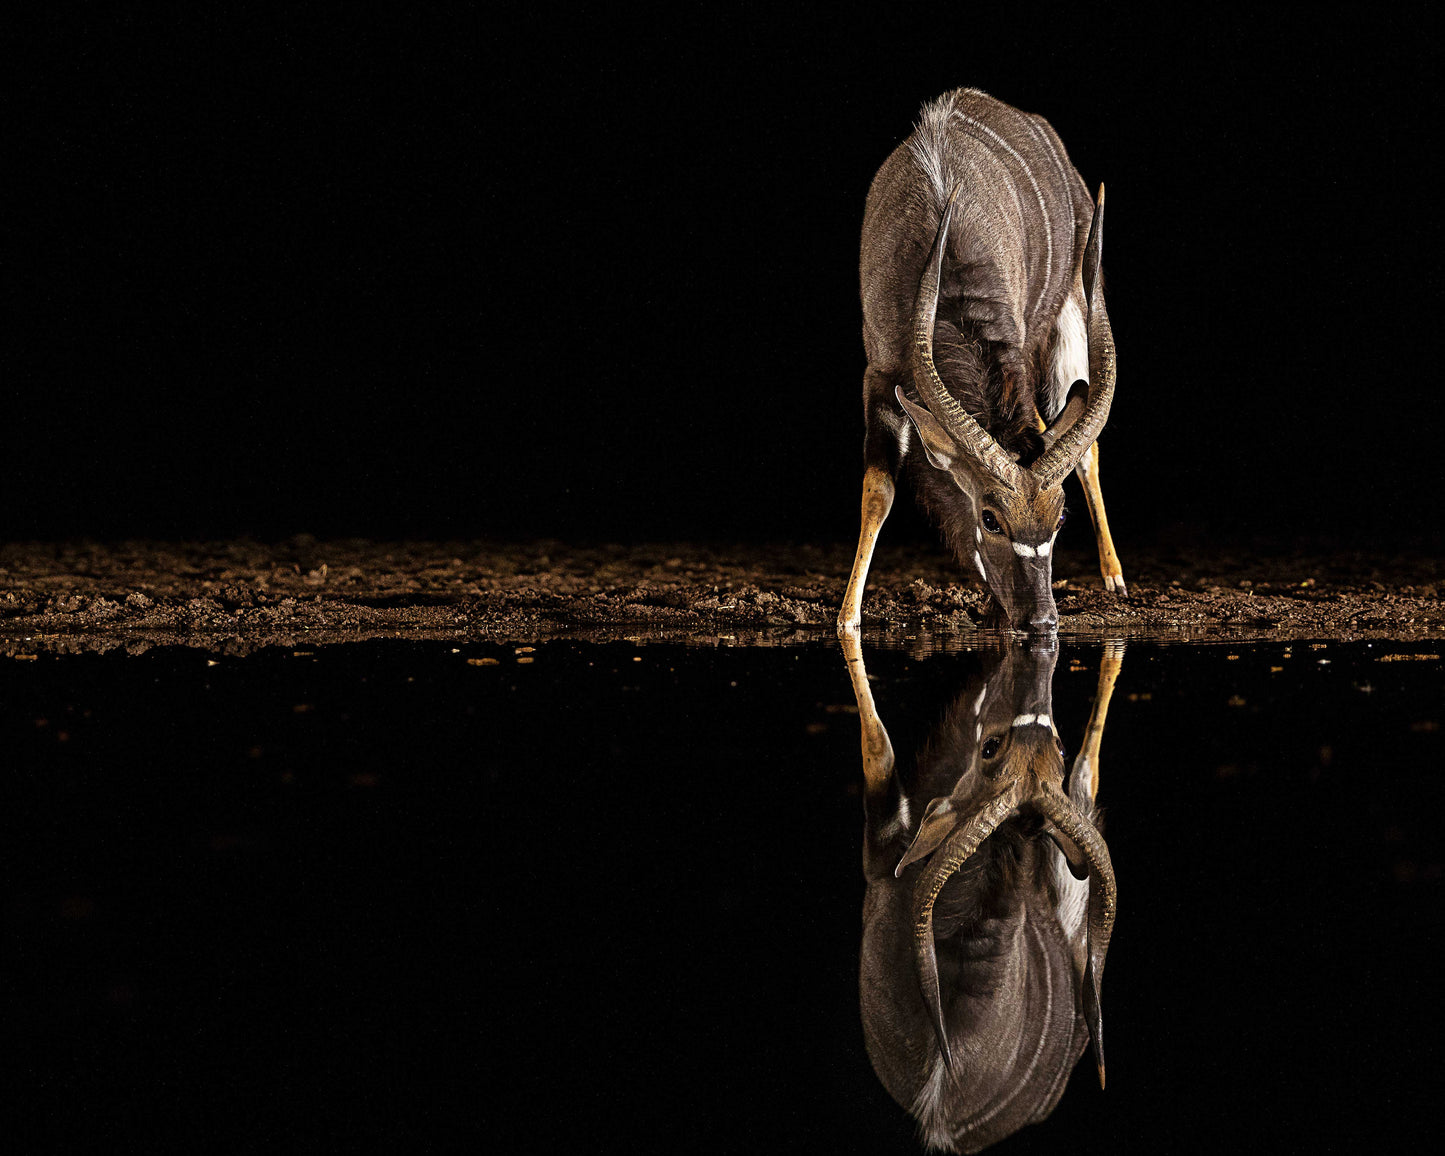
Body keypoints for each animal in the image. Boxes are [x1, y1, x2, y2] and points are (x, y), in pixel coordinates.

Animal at [839, 88, 1124, 635]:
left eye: (1059, 519)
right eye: (991, 518)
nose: (1042, 620)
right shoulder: (879, 374)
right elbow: (877, 491)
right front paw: (847, 619)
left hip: (1072, 316)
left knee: (1085, 449)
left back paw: (1116, 580)